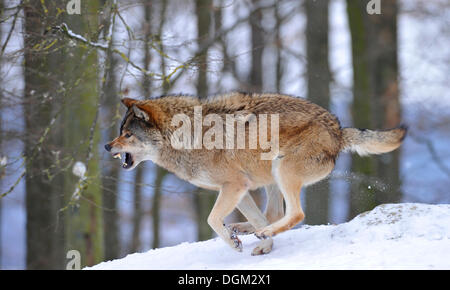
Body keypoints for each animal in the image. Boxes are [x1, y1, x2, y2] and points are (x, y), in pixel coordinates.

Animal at [103, 92, 406, 255]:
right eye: (120, 132)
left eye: (127, 135)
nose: (106, 146)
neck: (185, 136)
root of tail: (339, 130)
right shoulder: (239, 189)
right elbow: (249, 217)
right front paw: (262, 245)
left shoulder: (234, 186)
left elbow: (212, 219)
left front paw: (239, 244)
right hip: (270, 177)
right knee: (272, 214)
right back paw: (247, 229)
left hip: (281, 169)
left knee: (295, 214)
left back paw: (253, 232)